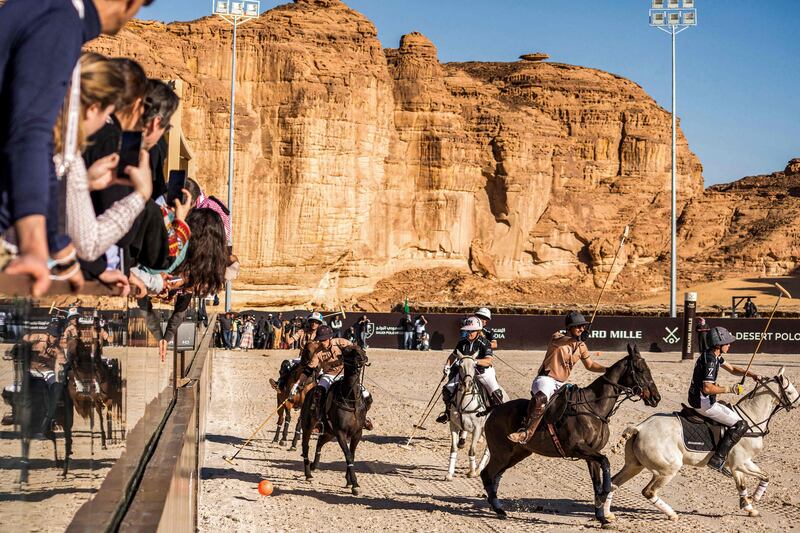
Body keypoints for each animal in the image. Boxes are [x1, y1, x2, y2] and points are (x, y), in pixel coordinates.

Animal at [302, 344, 374, 494]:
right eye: (347, 350)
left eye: (360, 348)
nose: (362, 358)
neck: (350, 399)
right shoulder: (341, 432)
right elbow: (348, 455)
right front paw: (355, 484)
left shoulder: (357, 433)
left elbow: (352, 454)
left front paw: (349, 481)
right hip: (308, 426)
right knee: (305, 446)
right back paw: (308, 474)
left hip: (329, 432)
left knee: (319, 442)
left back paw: (314, 465)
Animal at [478, 344, 660, 524]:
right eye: (640, 369)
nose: (656, 398)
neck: (594, 409)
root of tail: (494, 410)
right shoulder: (577, 448)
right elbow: (606, 462)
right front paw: (605, 494)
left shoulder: (591, 454)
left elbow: (597, 481)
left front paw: (601, 516)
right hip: (501, 453)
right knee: (486, 474)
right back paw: (498, 508)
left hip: (516, 454)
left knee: (495, 476)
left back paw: (497, 506)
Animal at [608, 366, 796, 520]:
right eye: (790, 391)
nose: (797, 403)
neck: (751, 419)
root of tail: (639, 427)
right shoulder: (741, 462)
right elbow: (759, 478)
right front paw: (753, 499)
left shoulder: (737, 464)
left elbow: (748, 482)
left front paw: (748, 506)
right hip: (667, 469)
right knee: (649, 491)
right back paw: (672, 514)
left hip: (634, 465)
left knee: (612, 484)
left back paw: (607, 516)